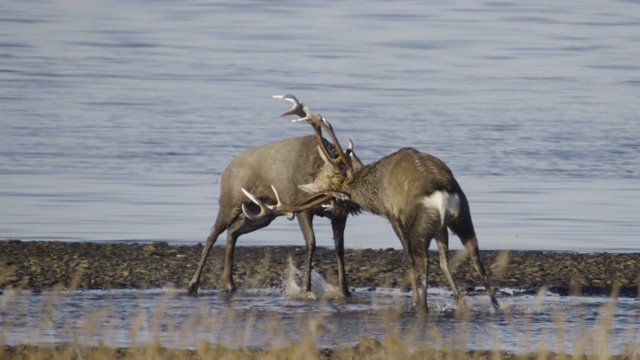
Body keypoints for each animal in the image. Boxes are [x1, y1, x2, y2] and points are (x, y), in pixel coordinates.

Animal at [188, 134, 362, 296]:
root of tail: (223, 174)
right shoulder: (302, 208)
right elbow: (311, 242)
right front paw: (305, 289)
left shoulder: (339, 215)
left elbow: (339, 248)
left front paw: (345, 291)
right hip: (231, 202)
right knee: (213, 234)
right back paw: (193, 284)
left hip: (260, 212)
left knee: (233, 231)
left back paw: (229, 283)